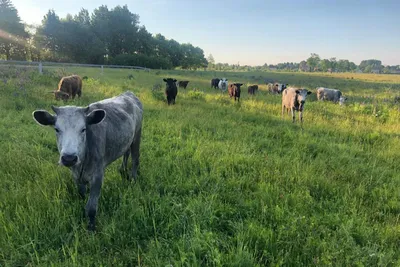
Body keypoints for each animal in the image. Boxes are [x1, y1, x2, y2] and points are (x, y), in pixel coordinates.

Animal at [31, 91, 144, 231]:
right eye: (56, 129)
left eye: (83, 129)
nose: (69, 158)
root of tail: (128, 93)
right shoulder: (76, 176)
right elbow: (81, 194)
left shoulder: (98, 176)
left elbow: (91, 208)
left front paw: (91, 228)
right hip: (127, 139)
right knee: (126, 152)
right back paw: (122, 170)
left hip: (137, 135)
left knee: (135, 158)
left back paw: (133, 178)